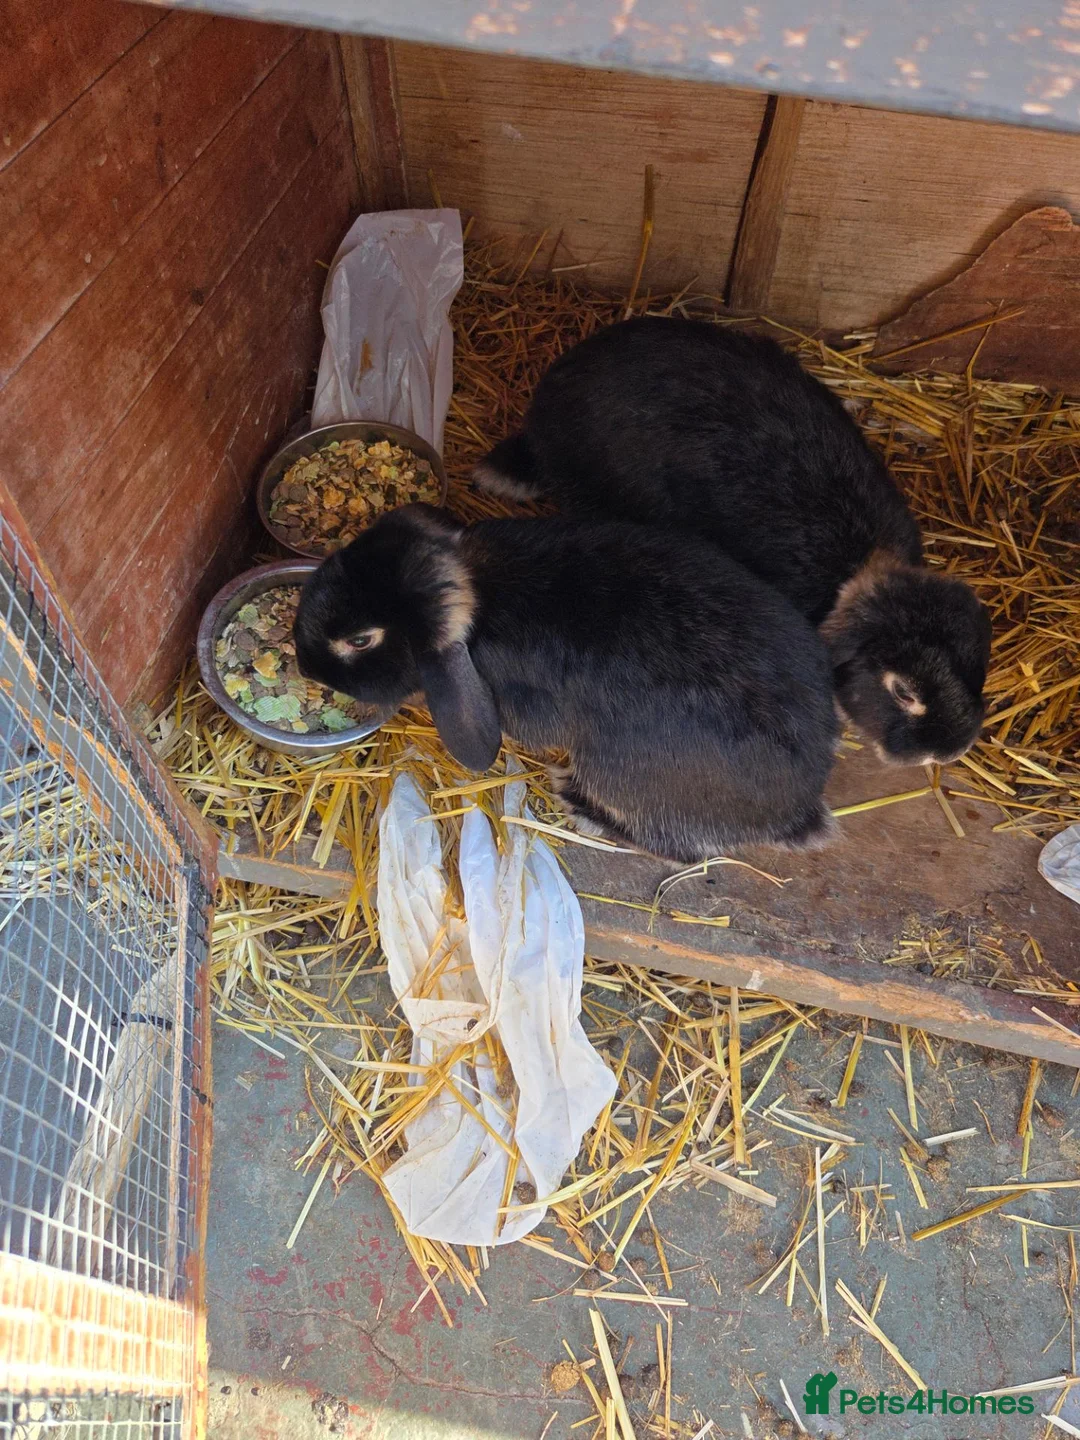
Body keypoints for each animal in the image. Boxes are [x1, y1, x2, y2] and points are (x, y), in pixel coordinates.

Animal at [294, 504, 840, 864]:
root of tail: (799, 804)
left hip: (619, 771)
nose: (303, 663)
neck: (478, 589)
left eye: (360, 640)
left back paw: (580, 803)